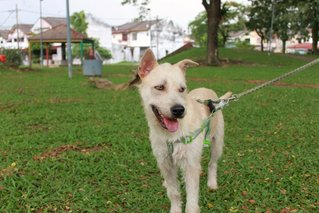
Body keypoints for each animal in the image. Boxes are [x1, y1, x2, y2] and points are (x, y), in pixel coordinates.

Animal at [132, 49, 225, 212]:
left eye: (182, 89)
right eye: (160, 87)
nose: (179, 110)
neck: (169, 135)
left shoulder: (190, 164)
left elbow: (191, 200)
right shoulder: (165, 162)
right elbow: (173, 192)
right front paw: (175, 208)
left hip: (217, 143)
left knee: (212, 164)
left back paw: (212, 183)